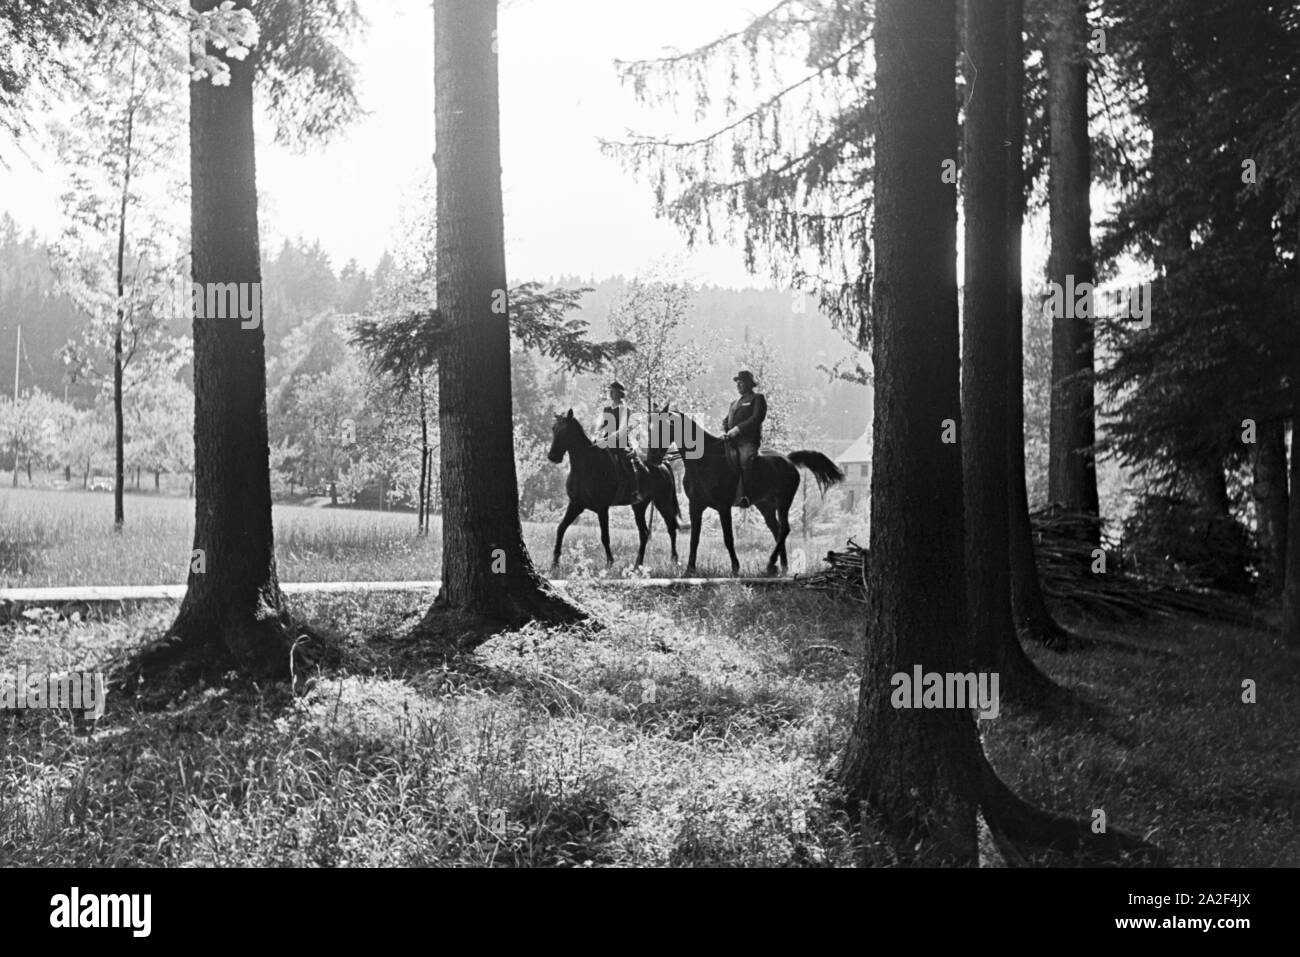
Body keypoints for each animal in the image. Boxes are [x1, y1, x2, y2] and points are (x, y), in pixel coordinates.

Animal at [543, 408, 681, 566]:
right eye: (554, 429)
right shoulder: (576, 504)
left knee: (671, 528)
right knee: (644, 533)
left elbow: (605, 536)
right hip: (639, 506)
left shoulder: (602, 508)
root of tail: (664, 464)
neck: (586, 465)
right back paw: (638, 564)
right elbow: (561, 528)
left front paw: (610, 562)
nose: (552, 456)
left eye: (565, 430)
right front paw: (555, 562)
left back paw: (674, 559)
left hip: (662, 502)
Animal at [655, 405, 847, 574]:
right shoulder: (695, 506)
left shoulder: (723, 507)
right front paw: (689, 569)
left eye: (661, 427)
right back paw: (781, 566)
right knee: (777, 530)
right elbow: (694, 538)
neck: (705, 460)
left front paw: (735, 567)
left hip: (783, 502)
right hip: (765, 506)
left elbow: (728, 537)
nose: (653, 456)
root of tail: (788, 460)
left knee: (784, 529)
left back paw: (771, 564)